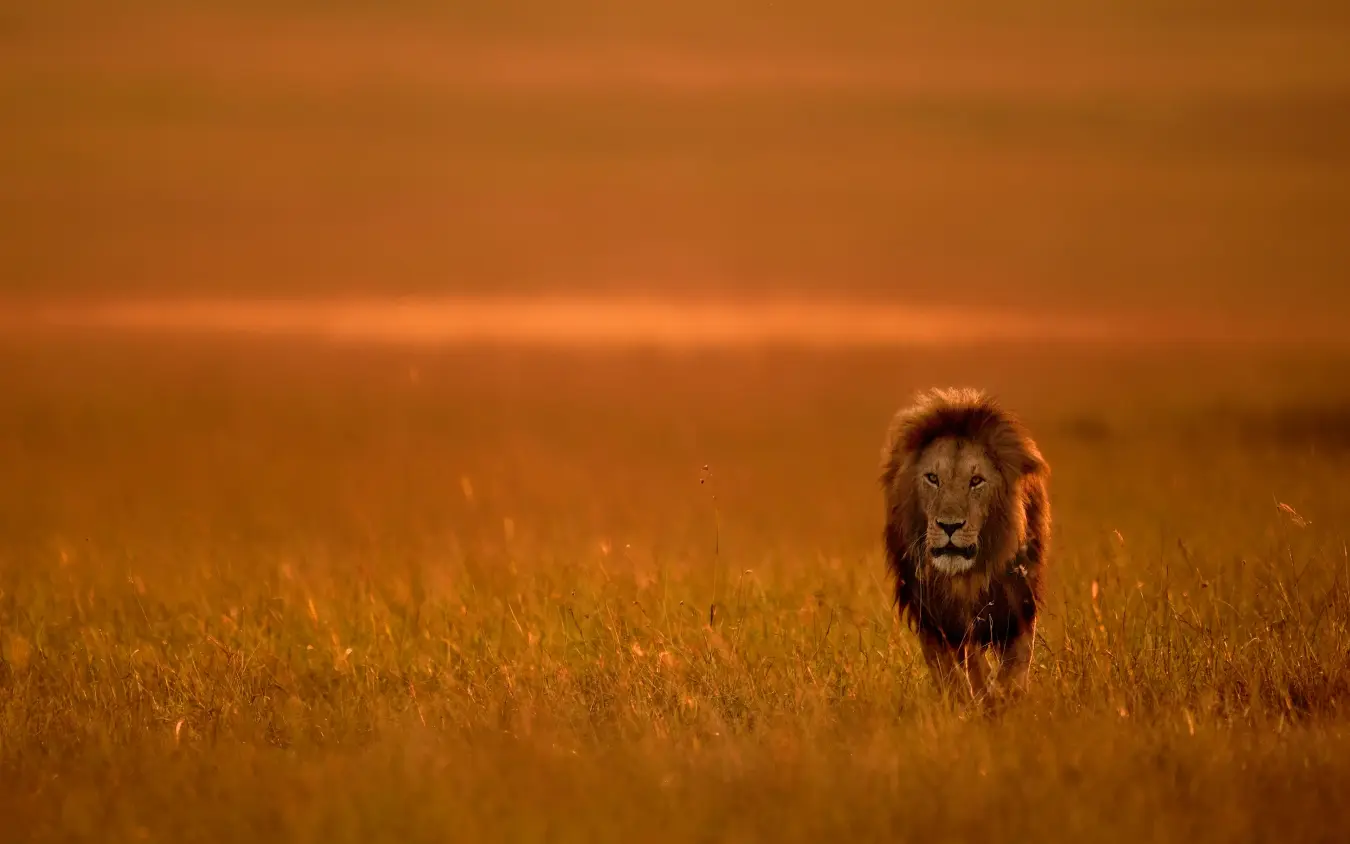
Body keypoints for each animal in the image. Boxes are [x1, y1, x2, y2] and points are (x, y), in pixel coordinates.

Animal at [880, 387, 1051, 703]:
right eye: (932, 478)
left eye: (976, 481)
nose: (949, 526)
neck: (967, 578)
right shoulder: (935, 618)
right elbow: (959, 669)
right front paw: (969, 701)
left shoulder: (1018, 603)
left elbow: (1015, 664)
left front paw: (1006, 697)